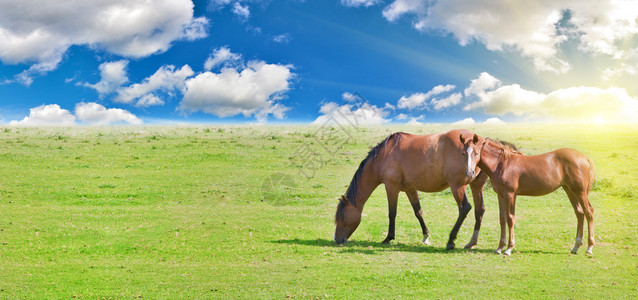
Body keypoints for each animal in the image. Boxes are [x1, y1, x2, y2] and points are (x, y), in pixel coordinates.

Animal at [336, 130, 490, 250]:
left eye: (342, 216)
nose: (337, 240)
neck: (385, 154)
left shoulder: (391, 187)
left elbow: (392, 213)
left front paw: (388, 238)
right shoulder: (410, 189)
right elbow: (418, 212)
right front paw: (426, 236)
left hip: (457, 186)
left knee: (464, 208)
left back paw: (451, 241)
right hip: (476, 186)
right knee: (479, 210)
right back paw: (472, 242)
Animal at [464, 138, 600, 255]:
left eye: (476, 153)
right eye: (464, 153)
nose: (470, 173)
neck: (502, 164)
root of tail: (585, 158)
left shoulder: (510, 195)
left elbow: (510, 218)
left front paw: (509, 248)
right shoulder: (501, 195)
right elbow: (502, 219)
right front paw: (499, 248)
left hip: (580, 192)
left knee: (589, 212)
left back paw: (589, 248)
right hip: (570, 191)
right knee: (579, 213)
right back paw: (576, 246)